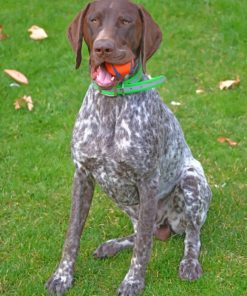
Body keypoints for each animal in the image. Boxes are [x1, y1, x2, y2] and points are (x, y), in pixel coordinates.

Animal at [45, 1, 211, 294]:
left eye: (125, 21)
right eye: (93, 20)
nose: (103, 48)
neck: (112, 106)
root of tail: (168, 225)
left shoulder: (147, 181)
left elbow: (143, 247)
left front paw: (133, 280)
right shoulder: (82, 176)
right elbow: (72, 234)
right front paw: (62, 276)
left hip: (191, 182)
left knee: (190, 234)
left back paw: (189, 263)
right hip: (122, 197)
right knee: (148, 231)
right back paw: (112, 245)